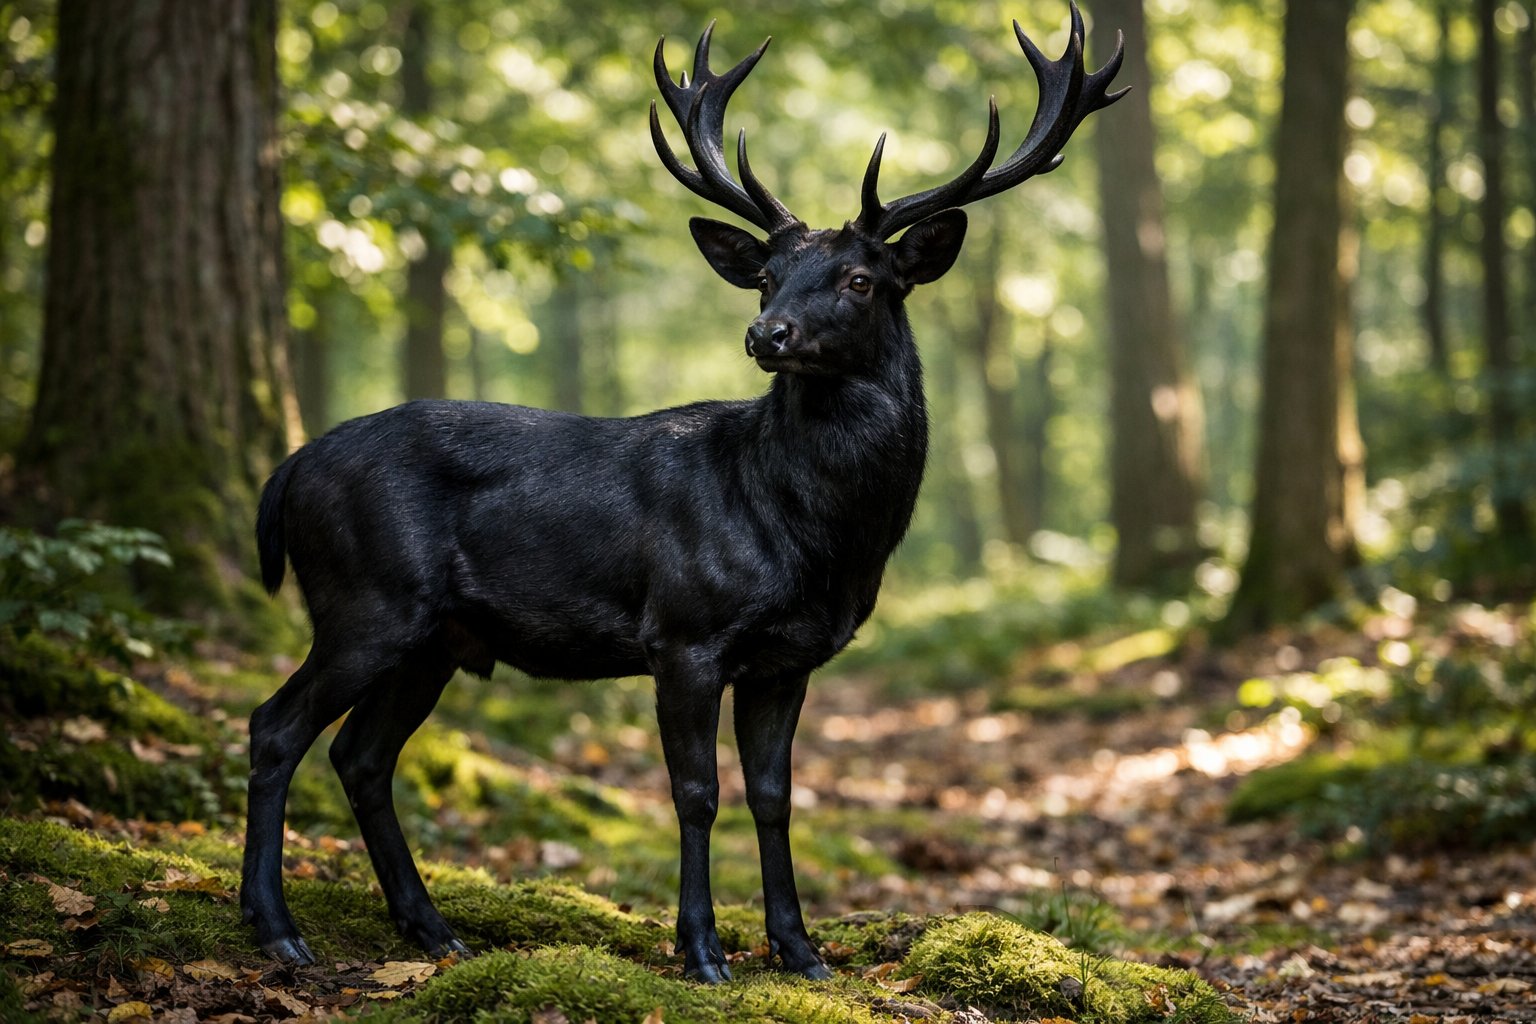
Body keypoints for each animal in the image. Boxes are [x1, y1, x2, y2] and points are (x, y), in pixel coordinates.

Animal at [240, 4, 1123, 984]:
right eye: (769, 276)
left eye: (861, 280)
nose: (767, 333)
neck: (815, 537)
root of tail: (288, 471)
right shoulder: (683, 632)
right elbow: (696, 793)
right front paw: (701, 950)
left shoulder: (789, 657)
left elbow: (774, 795)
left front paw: (800, 950)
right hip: (367, 598)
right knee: (275, 727)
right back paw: (277, 928)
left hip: (435, 637)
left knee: (361, 755)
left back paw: (431, 928)